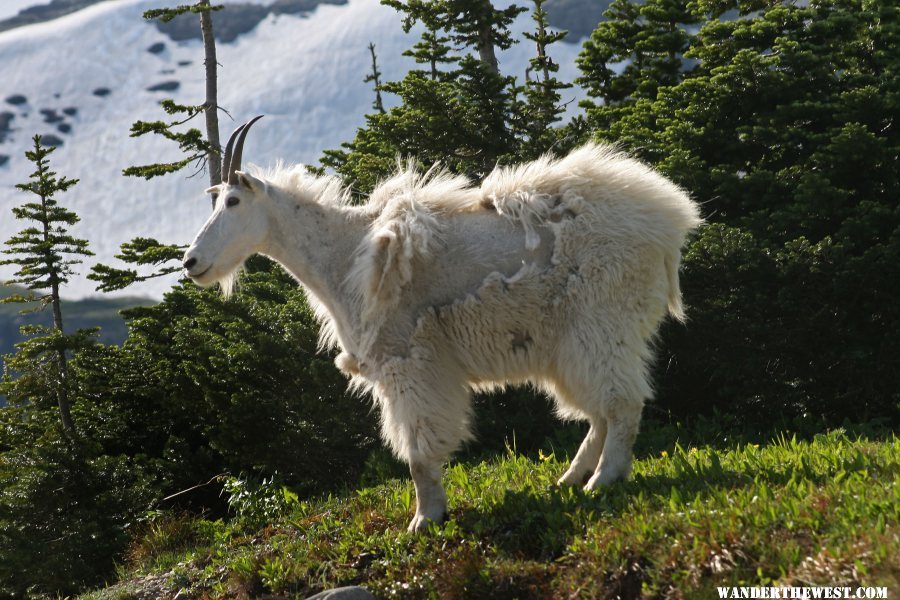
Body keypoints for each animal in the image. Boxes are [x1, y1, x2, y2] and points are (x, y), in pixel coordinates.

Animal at [183, 119, 704, 532]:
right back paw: (570, 478)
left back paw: (603, 480)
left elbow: (417, 450)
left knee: (622, 404)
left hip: (601, 320)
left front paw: (424, 519)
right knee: (598, 409)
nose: (191, 263)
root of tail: (668, 224)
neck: (342, 254)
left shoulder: (408, 359)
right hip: (568, 343)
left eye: (232, 201)